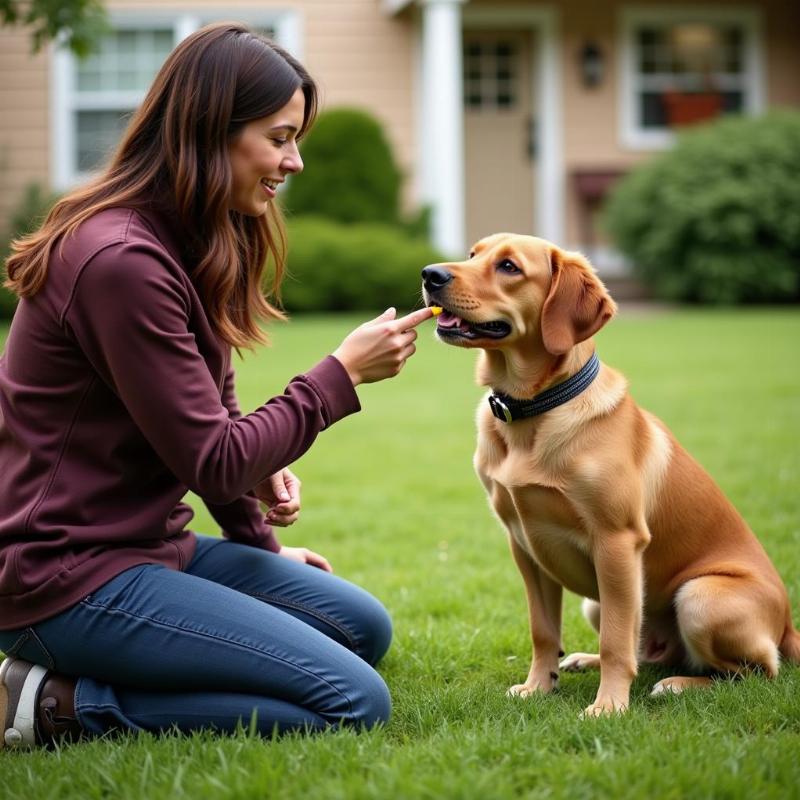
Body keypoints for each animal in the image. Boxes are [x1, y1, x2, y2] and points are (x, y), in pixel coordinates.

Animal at [422, 234, 796, 716]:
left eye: (508, 267)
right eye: (472, 254)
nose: (430, 274)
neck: (535, 409)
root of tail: (789, 626)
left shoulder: (616, 541)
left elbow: (618, 641)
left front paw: (609, 707)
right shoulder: (523, 544)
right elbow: (544, 631)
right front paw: (538, 686)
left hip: (699, 597)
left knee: (753, 671)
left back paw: (678, 685)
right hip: (596, 603)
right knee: (649, 652)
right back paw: (588, 660)